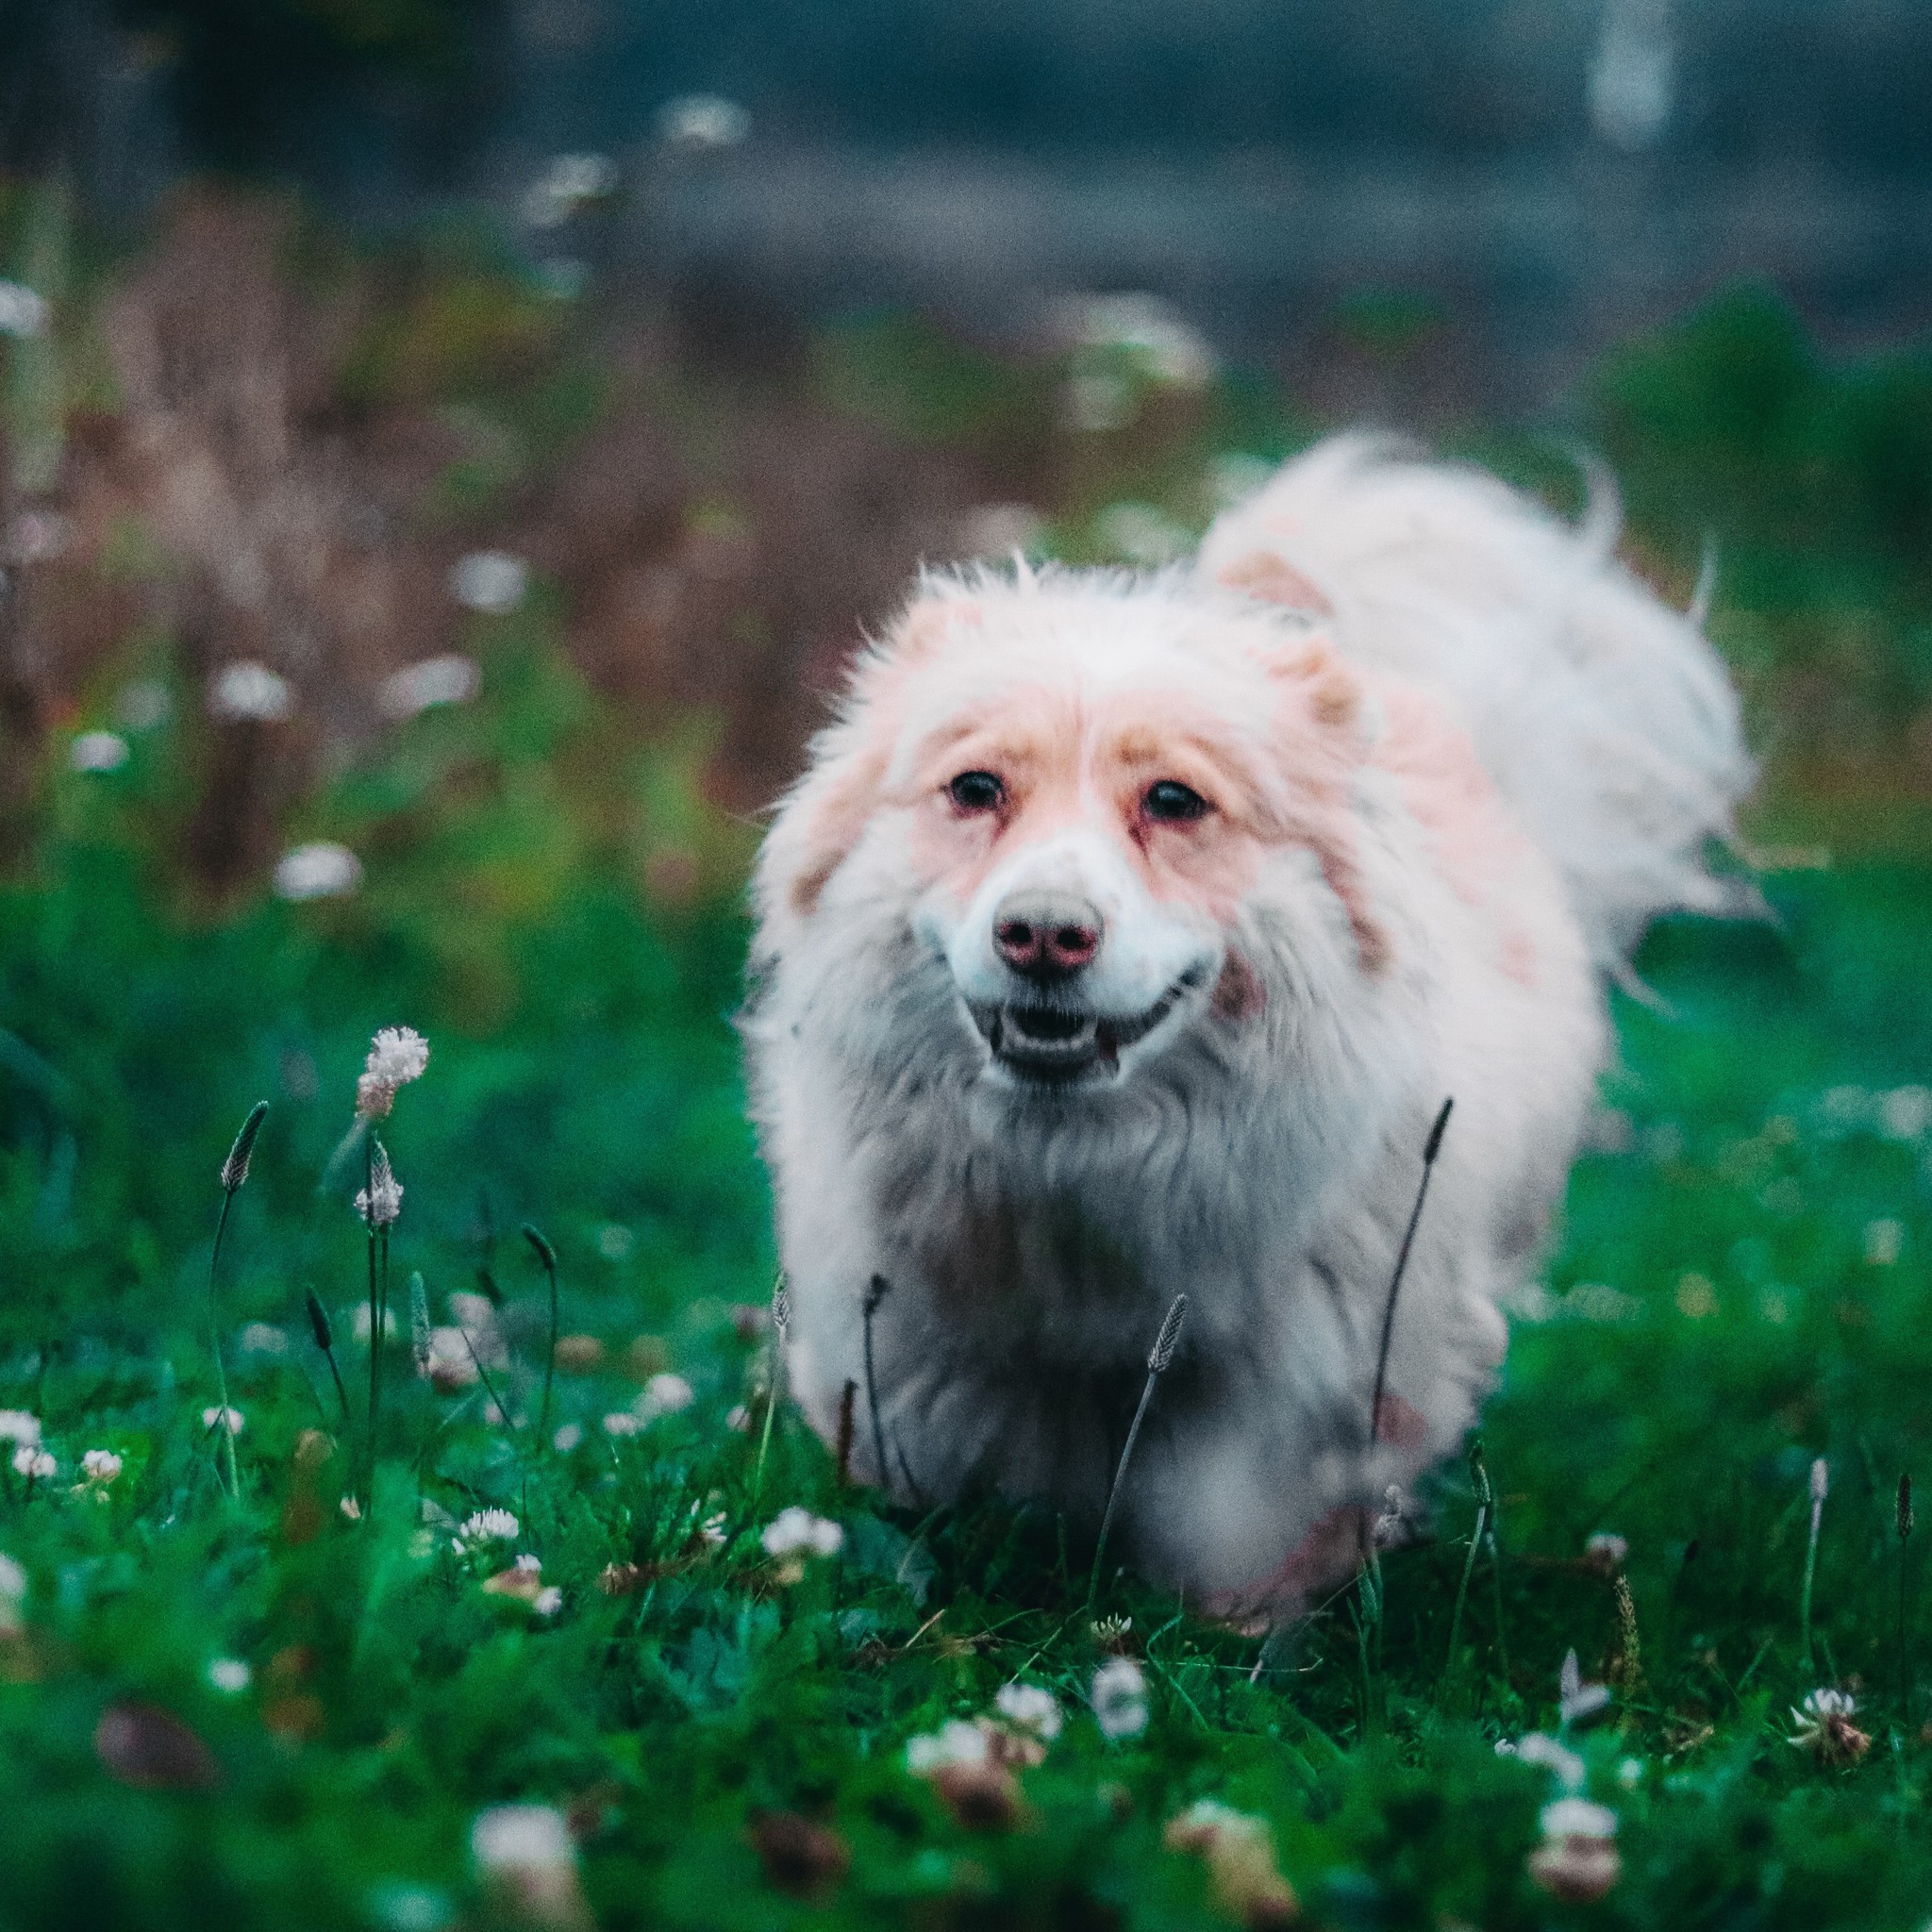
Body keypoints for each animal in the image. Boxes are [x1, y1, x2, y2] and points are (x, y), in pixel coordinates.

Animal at [741, 438, 1754, 1615]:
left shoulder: (1303, 1377)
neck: (1075, 1164)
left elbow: (1240, 1529)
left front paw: (1231, 1632)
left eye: (1174, 801)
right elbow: (936, 1470)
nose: (1041, 933)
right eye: (976, 787)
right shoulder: (914, 1341)